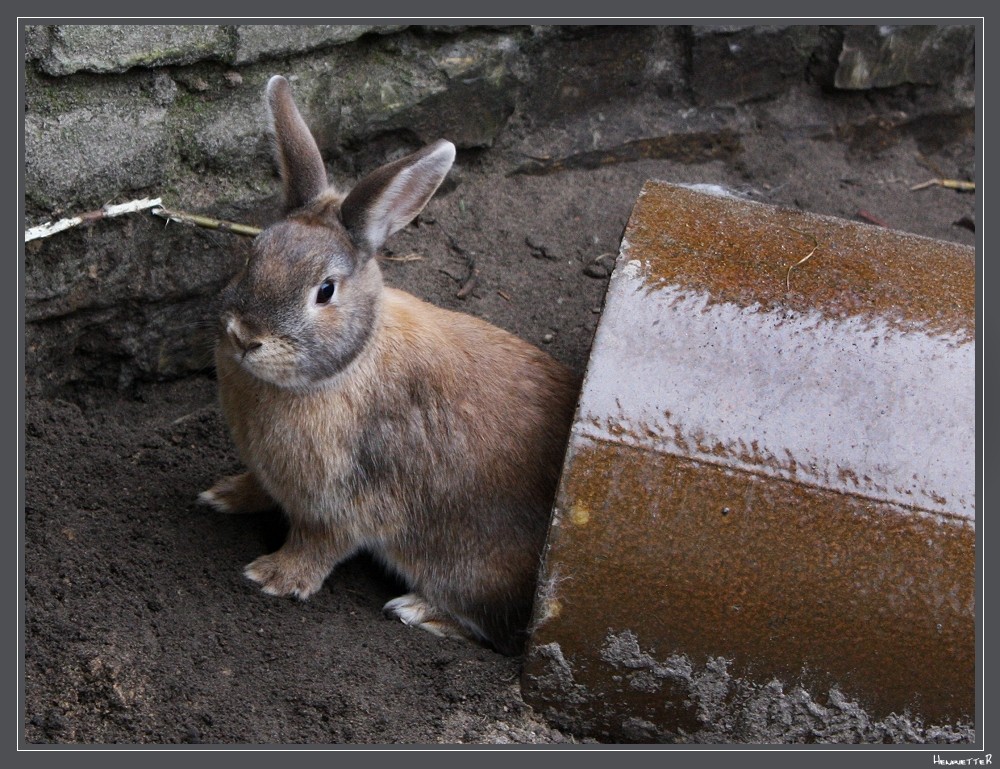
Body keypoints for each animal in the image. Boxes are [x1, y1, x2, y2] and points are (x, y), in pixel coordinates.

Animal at [197, 76, 580, 656]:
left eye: (325, 291)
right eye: (252, 255)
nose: (245, 337)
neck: (345, 366)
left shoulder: (344, 501)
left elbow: (319, 544)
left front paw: (273, 577)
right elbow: (260, 489)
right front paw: (223, 495)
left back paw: (418, 611)